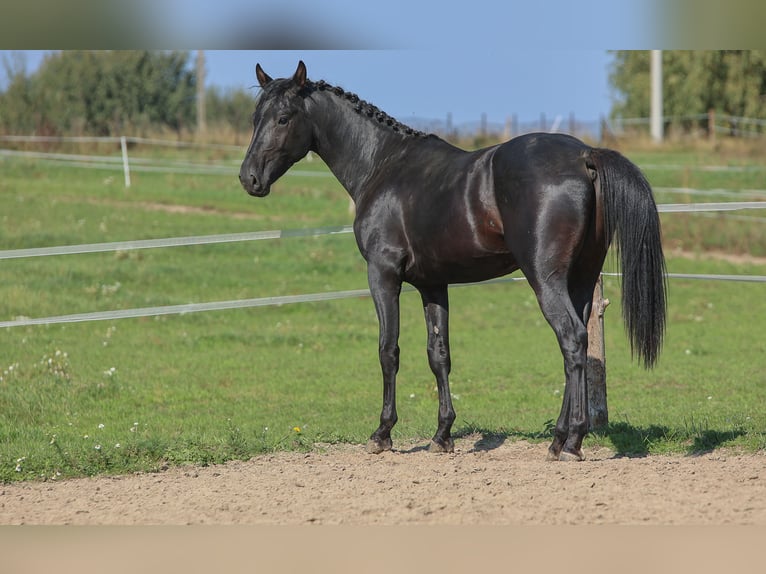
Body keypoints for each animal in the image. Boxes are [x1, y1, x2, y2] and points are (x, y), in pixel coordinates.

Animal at [240, 60, 664, 462]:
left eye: (283, 118)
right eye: (255, 117)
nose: (249, 179)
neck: (383, 165)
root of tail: (582, 156)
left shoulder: (383, 275)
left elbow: (388, 351)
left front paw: (382, 434)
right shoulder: (433, 284)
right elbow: (438, 355)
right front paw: (442, 435)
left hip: (546, 279)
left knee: (572, 340)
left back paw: (570, 440)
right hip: (581, 279)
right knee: (577, 348)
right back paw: (562, 440)